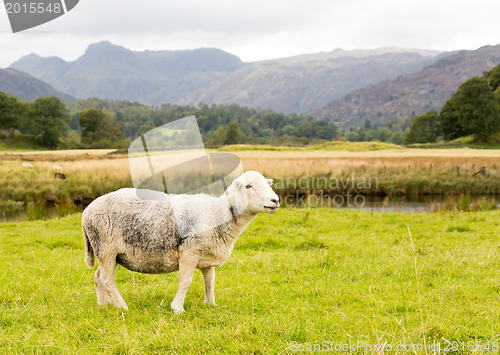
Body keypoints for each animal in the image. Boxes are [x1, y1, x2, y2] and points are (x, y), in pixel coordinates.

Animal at [81, 171, 278, 312]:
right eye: (248, 186)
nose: (275, 200)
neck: (217, 214)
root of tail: (87, 211)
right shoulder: (189, 252)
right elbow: (185, 282)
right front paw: (177, 309)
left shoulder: (207, 256)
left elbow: (210, 282)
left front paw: (210, 304)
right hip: (106, 247)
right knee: (107, 280)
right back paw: (122, 306)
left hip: (108, 252)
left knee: (98, 277)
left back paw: (104, 304)